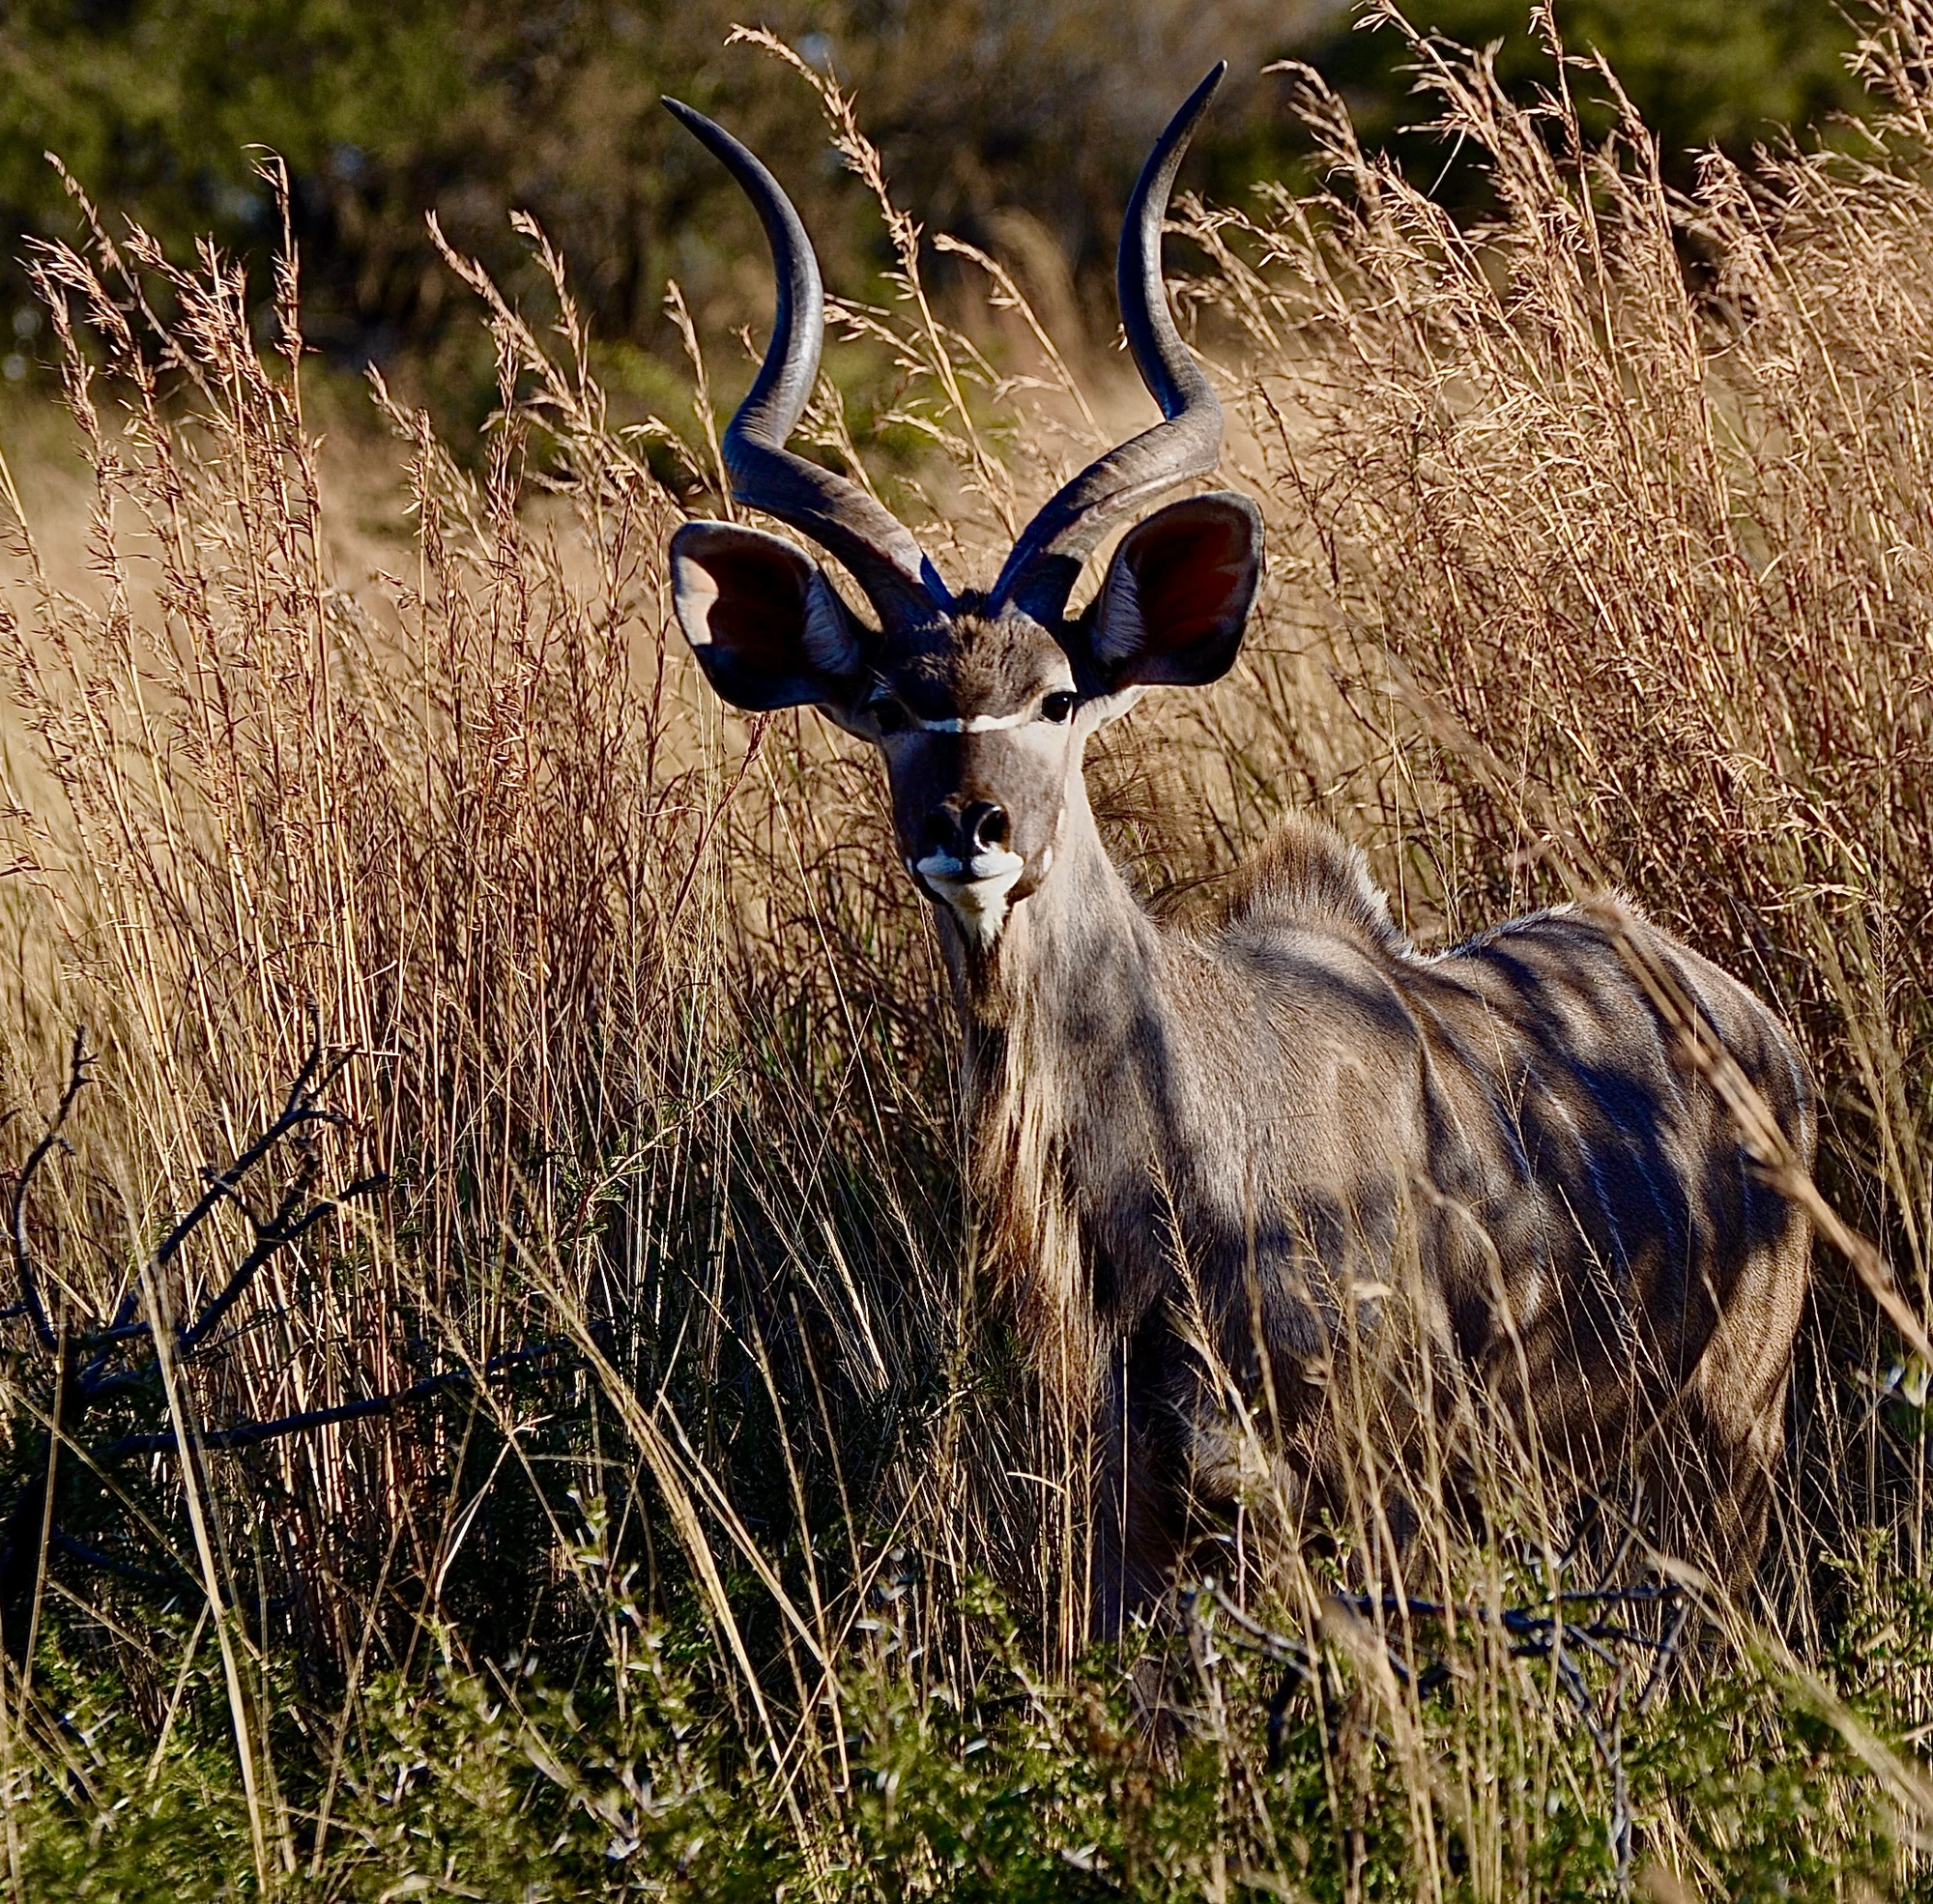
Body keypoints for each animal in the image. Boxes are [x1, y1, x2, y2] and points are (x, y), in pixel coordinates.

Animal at [665, 71, 1809, 1616]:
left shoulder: (1372, 1483)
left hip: (1723, 1431)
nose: (971, 824)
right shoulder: (1137, 1514)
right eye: (892, 706)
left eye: (1059, 695)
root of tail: (1745, 1017)